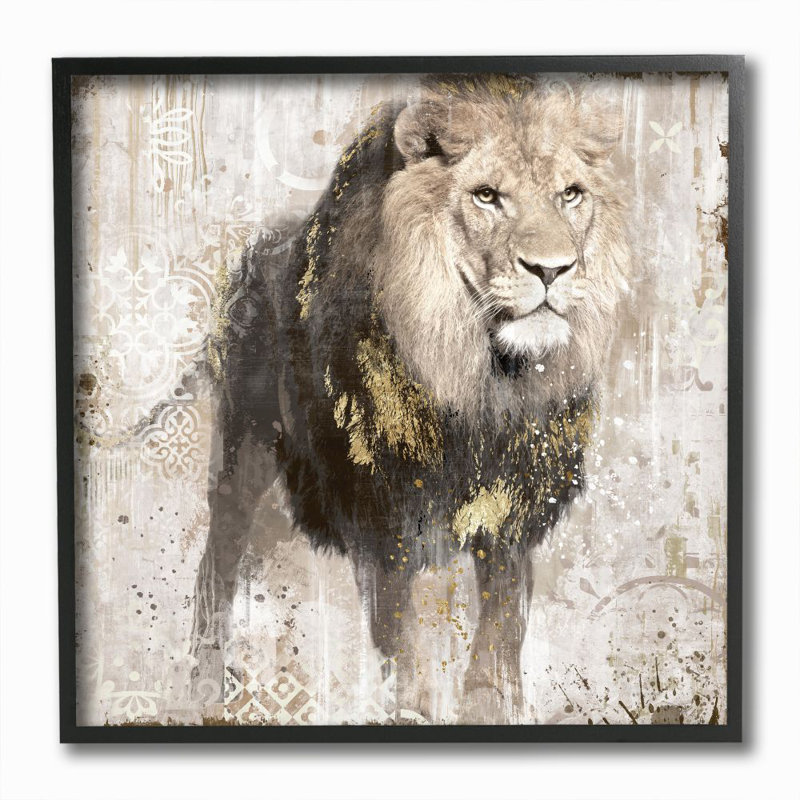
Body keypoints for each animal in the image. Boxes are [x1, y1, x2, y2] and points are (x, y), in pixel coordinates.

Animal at [190, 74, 631, 724]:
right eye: (486, 196)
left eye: (570, 195)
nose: (553, 269)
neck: (483, 383)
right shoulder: (385, 512)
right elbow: (402, 638)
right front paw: (412, 708)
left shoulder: (511, 509)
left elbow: (502, 629)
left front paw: (491, 704)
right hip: (244, 454)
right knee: (215, 567)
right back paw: (199, 686)